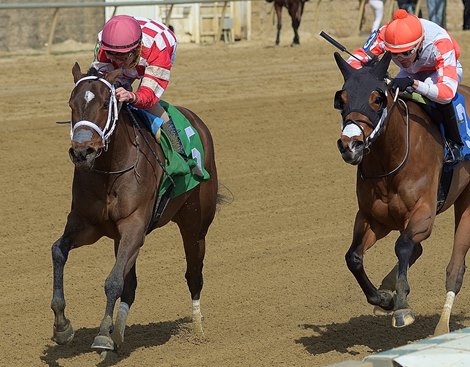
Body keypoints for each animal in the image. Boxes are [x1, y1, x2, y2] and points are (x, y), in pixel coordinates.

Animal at [50, 64, 223, 356]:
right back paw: (119, 335)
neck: (110, 170)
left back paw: (198, 328)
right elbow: (59, 252)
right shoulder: (87, 224)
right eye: (71, 104)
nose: (82, 152)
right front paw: (63, 327)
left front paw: (102, 335)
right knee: (130, 284)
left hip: (195, 223)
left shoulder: (134, 225)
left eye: (105, 103)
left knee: (194, 274)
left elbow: (113, 281)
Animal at [332, 51, 470, 336]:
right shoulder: (373, 219)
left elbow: (403, 245)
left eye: (377, 99)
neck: (390, 161)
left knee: (455, 268)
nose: (350, 146)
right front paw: (384, 298)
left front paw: (402, 307)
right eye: (342, 99)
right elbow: (353, 257)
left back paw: (441, 327)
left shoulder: (423, 214)